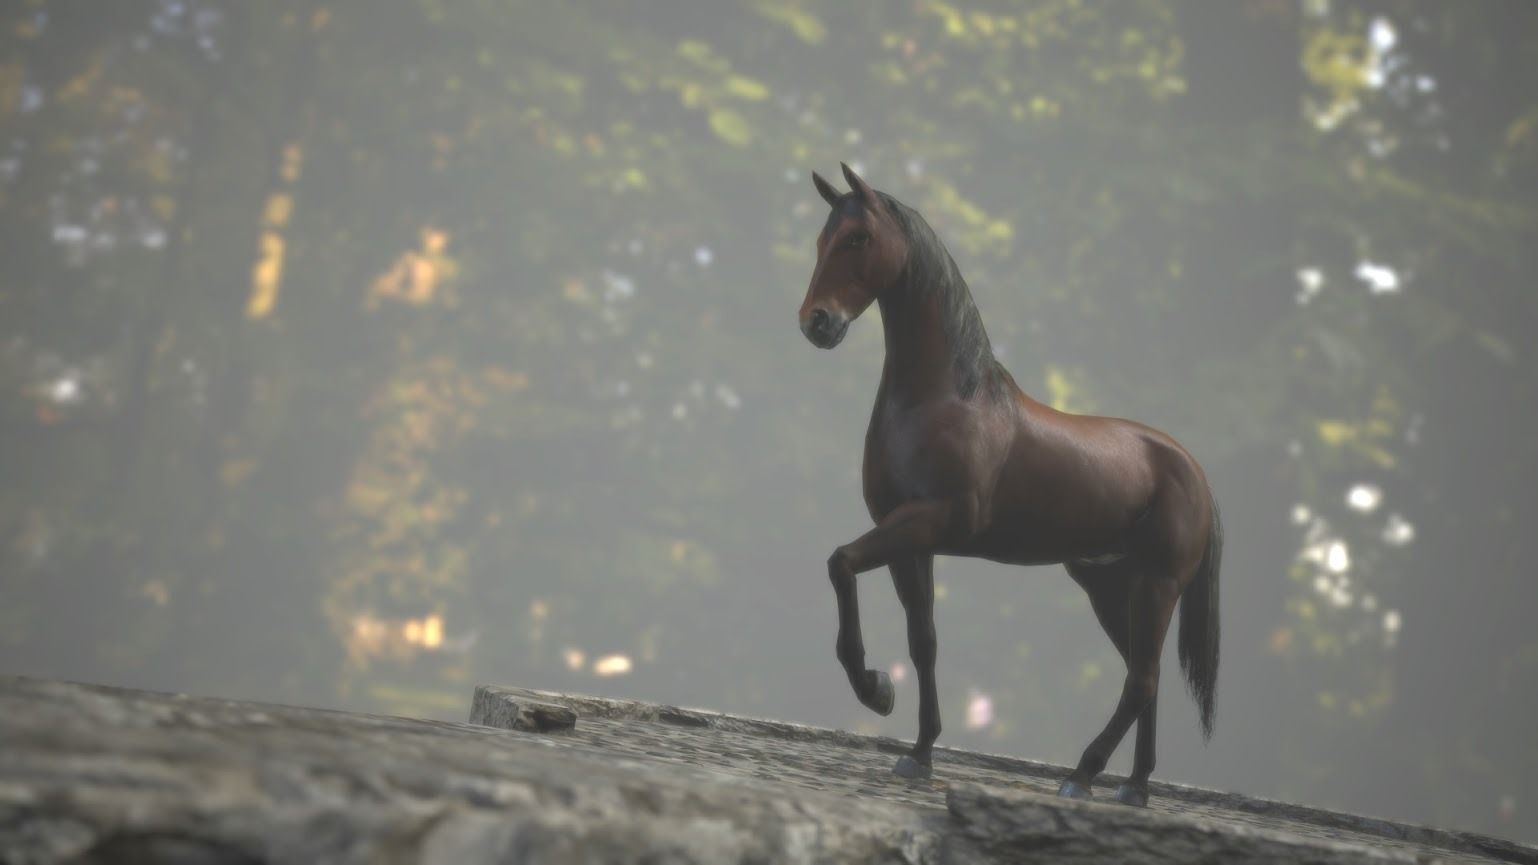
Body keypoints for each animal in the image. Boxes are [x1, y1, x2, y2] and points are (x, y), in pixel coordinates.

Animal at [797, 163, 1222, 806]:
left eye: (858, 239)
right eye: (823, 239)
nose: (816, 323)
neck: (944, 398)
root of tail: (1191, 467)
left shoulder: (929, 520)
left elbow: (840, 562)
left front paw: (875, 689)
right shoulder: (909, 542)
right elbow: (924, 642)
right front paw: (919, 754)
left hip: (1156, 584)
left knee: (1142, 679)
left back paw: (1081, 777)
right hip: (1109, 585)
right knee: (1141, 675)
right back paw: (1134, 788)